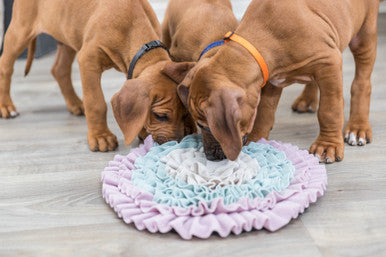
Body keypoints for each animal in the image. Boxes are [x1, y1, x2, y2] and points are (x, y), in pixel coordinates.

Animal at [0, 0, 196, 150]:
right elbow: (96, 103)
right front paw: (101, 137)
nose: (177, 143)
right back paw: (6, 107)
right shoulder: (88, 60)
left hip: (68, 35)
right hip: (20, 30)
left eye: (186, 114)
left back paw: (75, 103)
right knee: (5, 66)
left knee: (59, 69)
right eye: (160, 116)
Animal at [179, 0, 382, 162]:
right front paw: (257, 139)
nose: (210, 157)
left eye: (203, 125)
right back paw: (307, 99)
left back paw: (358, 127)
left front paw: (328, 145)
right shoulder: (270, 79)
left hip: (364, 34)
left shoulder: (329, 62)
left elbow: (329, 110)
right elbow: (264, 112)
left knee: (362, 83)